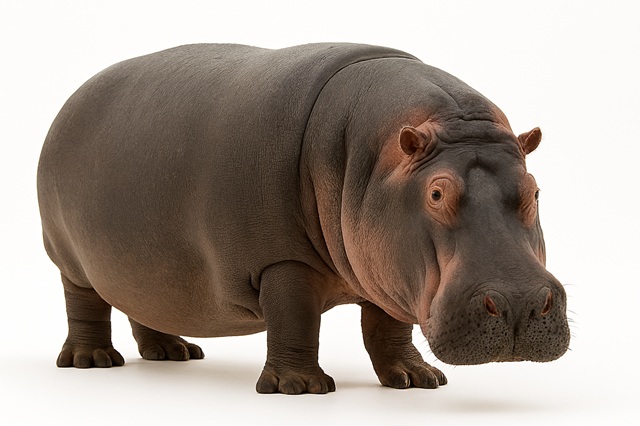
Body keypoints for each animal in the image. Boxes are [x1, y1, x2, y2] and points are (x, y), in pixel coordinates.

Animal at [37, 43, 570, 394]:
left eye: (535, 189)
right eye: (436, 193)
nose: (520, 302)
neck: (367, 156)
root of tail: (67, 103)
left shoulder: (385, 267)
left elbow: (388, 326)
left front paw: (416, 379)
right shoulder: (281, 259)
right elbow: (295, 318)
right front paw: (300, 387)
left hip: (140, 263)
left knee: (142, 301)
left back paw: (173, 352)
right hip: (70, 258)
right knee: (84, 303)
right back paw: (92, 361)